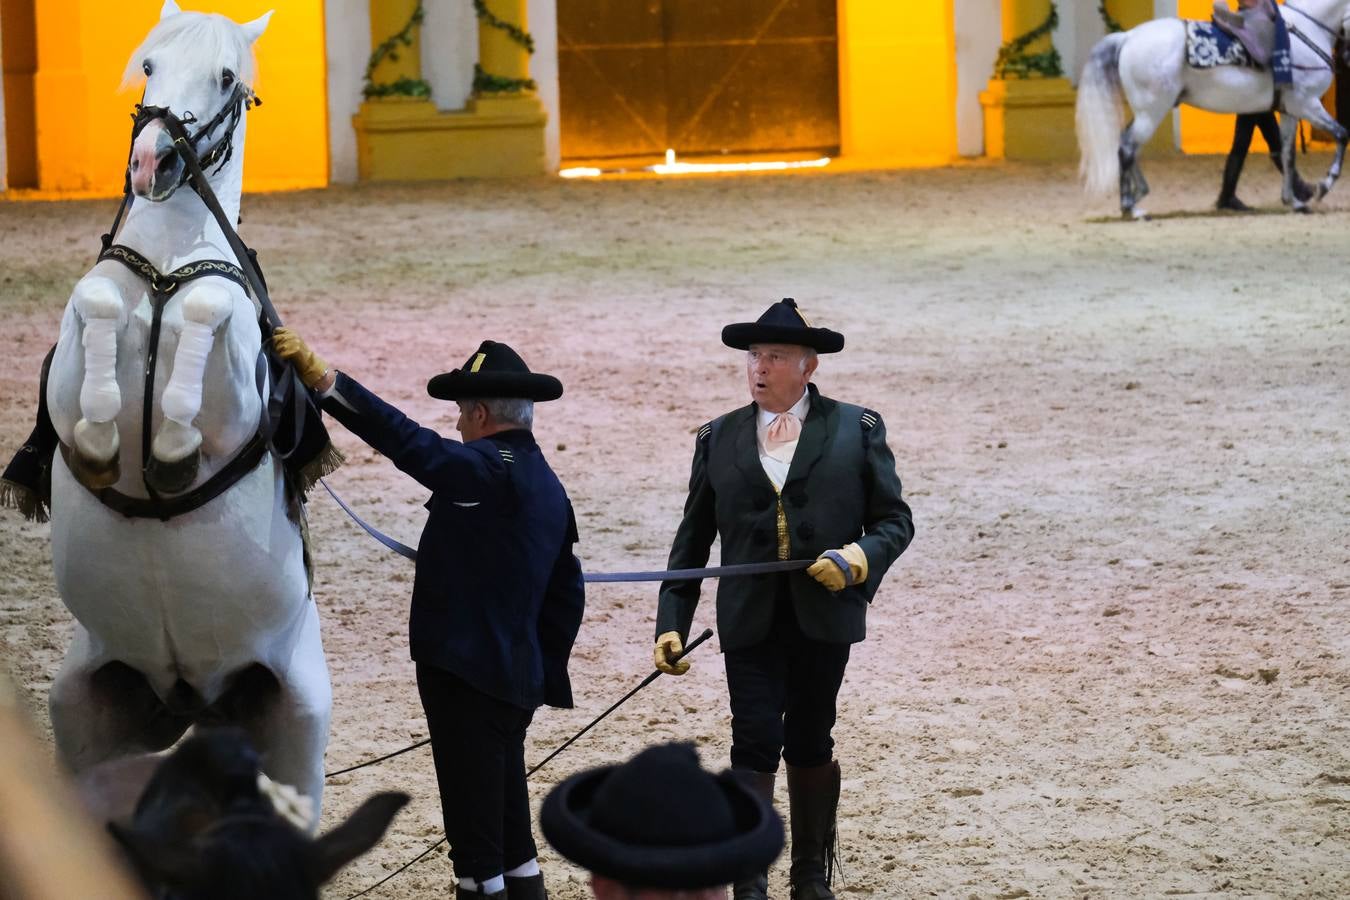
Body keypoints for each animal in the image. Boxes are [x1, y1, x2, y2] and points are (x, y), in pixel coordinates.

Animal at [45, 0, 332, 814]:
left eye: (227, 77)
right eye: (148, 64)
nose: (152, 164)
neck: (167, 266)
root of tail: (193, 698)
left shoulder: (234, 400)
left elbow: (209, 308)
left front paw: (170, 449)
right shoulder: (68, 364)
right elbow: (96, 299)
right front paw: (103, 440)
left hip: (298, 724)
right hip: (81, 713)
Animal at [1074, 0, 1350, 217]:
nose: (1346, 57)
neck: (1307, 29)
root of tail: (1129, 36)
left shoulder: (1290, 111)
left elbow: (1287, 155)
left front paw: (1294, 201)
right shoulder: (1307, 104)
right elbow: (1342, 135)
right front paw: (1322, 187)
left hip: (1146, 112)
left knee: (1127, 145)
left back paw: (1139, 194)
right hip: (1151, 113)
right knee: (1127, 147)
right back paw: (1130, 207)